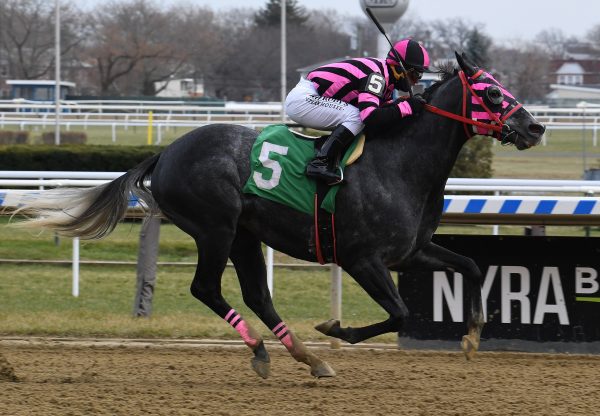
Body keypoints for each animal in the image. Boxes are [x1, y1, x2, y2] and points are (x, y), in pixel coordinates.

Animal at [14, 53, 548, 378]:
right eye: (493, 93)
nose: (535, 127)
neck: (400, 163)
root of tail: (166, 153)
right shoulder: (363, 259)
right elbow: (398, 312)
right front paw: (335, 329)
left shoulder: (410, 251)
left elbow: (472, 266)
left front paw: (473, 338)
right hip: (215, 227)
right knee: (207, 289)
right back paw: (266, 350)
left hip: (245, 235)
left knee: (257, 294)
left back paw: (305, 357)